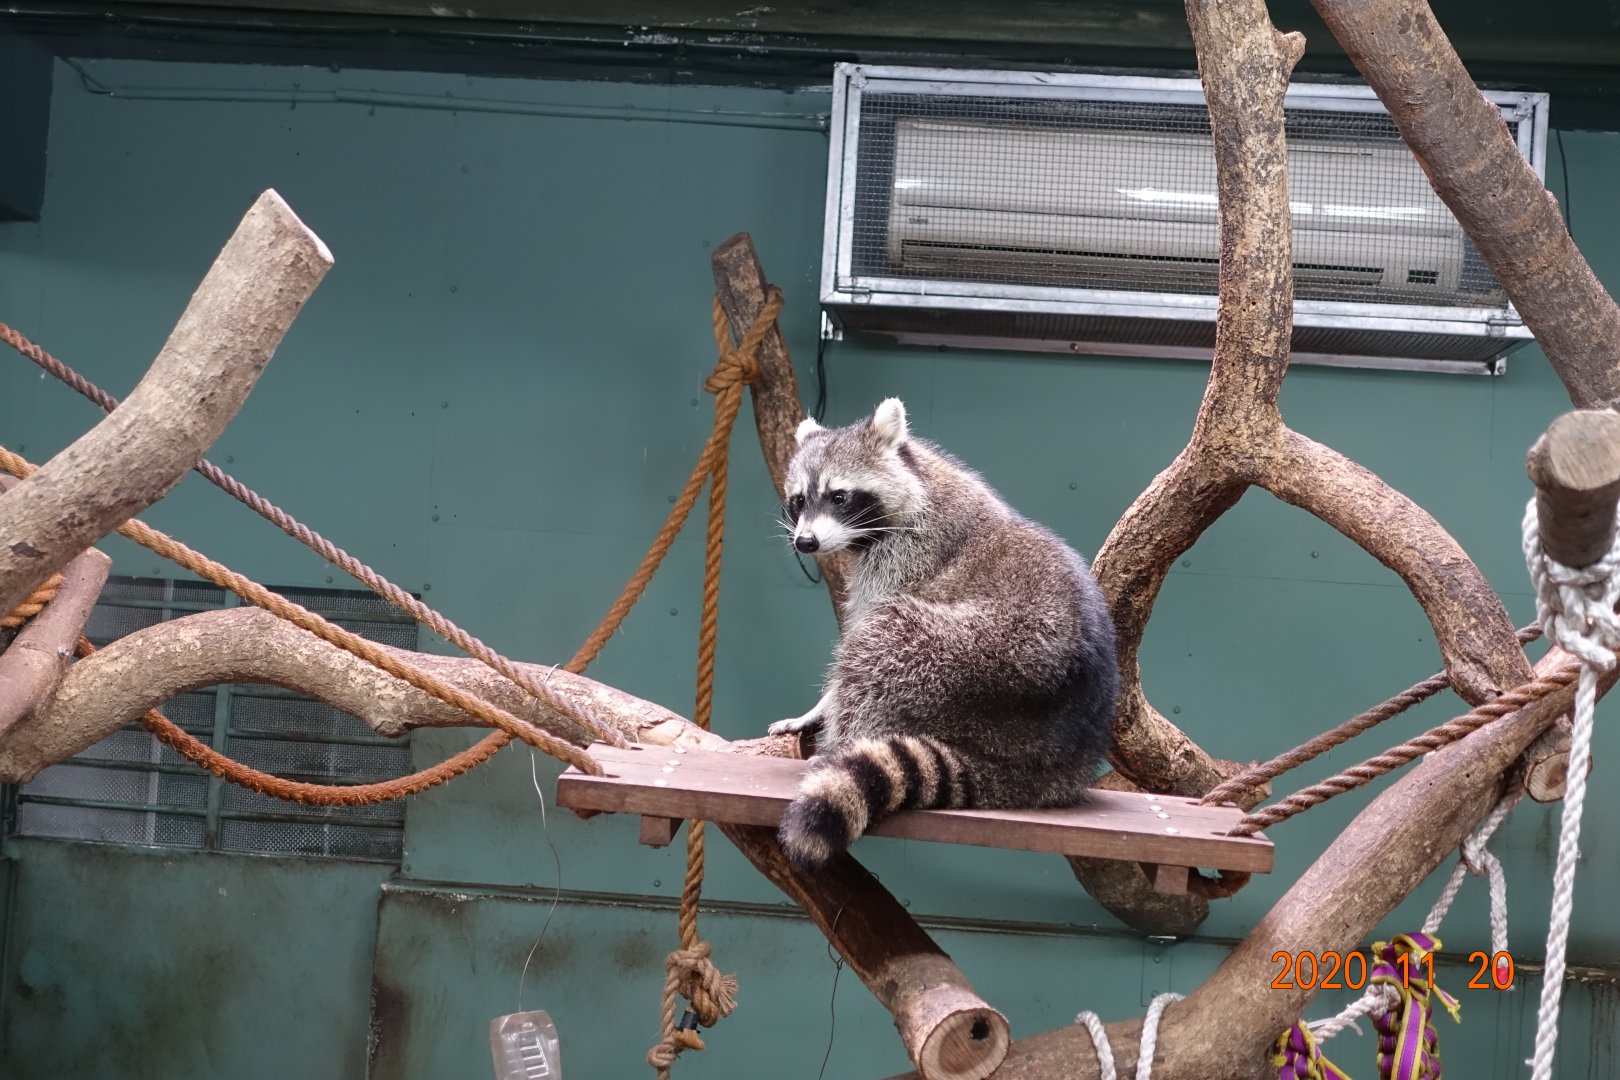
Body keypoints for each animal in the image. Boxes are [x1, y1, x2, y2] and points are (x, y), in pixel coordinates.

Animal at [770, 398, 1119, 872]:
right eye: (799, 500)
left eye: (839, 497)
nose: (805, 542)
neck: (917, 480)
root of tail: (1047, 764)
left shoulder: (907, 556)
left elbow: (861, 631)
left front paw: (825, 705)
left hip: (976, 660)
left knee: (882, 644)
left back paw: (841, 743)